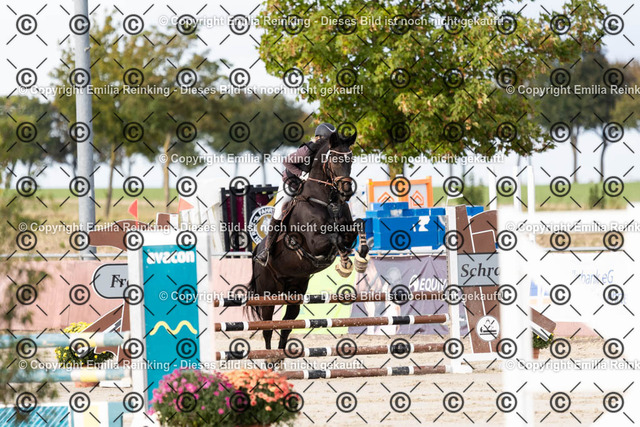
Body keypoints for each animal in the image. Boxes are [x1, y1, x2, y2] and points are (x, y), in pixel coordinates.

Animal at [247, 131, 370, 352]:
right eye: (335, 159)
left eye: (351, 159)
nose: (347, 191)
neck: (326, 199)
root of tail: (255, 252)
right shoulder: (313, 242)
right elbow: (335, 237)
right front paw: (344, 265)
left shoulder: (347, 230)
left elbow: (357, 226)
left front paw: (360, 260)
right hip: (267, 295)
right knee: (267, 329)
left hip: (294, 293)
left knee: (286, 326)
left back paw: (281, 357)